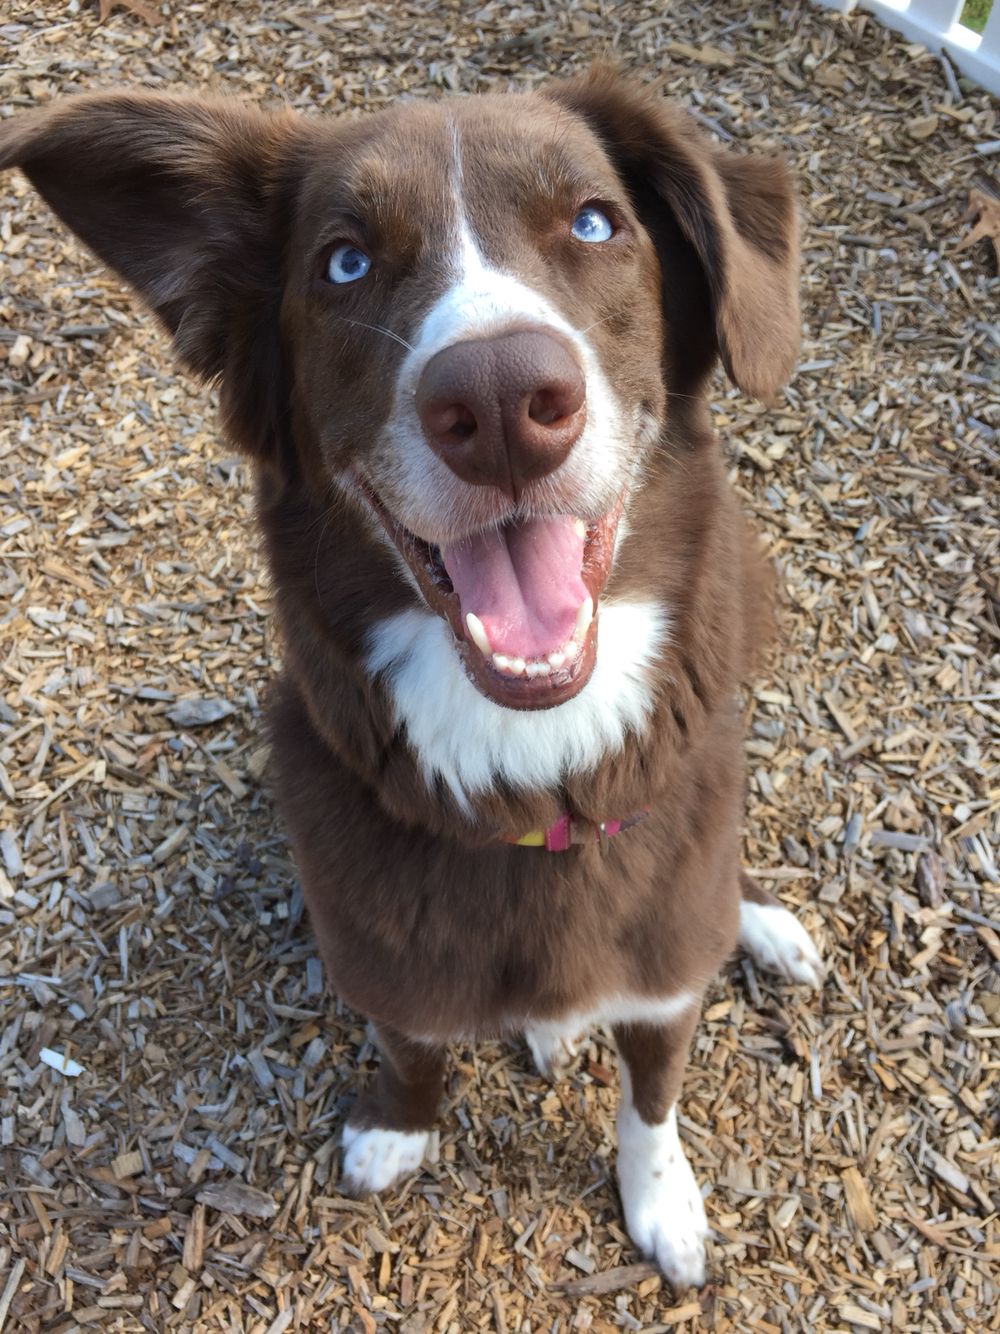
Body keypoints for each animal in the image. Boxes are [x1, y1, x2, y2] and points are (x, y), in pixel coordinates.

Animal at [3, 70, 826, 1280]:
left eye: (594, 222)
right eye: (344, 262)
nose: (500, 402)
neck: (534, 769)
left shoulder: (666, 968)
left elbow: (651, 1096)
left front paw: (662, 1201)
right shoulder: (384, 961)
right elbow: (414, 1050)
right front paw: (398, 1130)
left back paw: (763, 921)